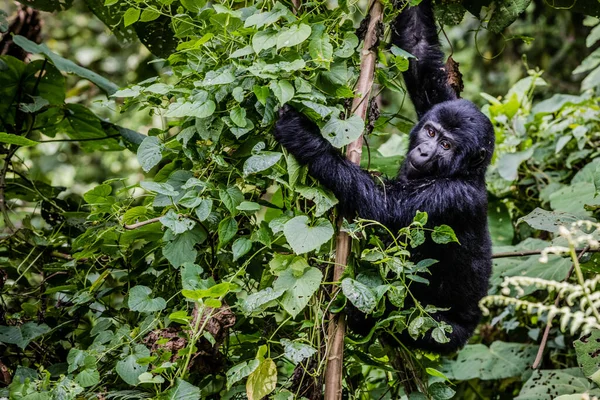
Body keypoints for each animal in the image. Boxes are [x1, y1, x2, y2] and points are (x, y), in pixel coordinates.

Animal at [272, 0, 492, 354]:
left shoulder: (451, 196)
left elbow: (383, 208)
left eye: (446, 145)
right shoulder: (440, 101)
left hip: (444, 334)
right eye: (431, 132)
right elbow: (418, 52)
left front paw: (303, 136)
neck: (467, 171)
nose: (425, 151)